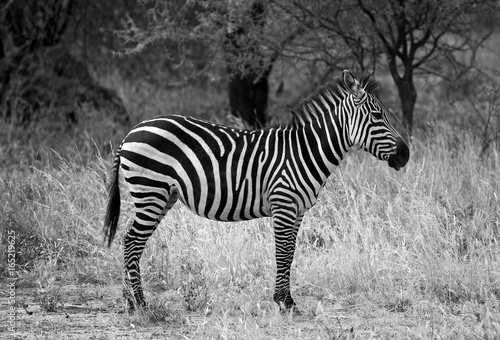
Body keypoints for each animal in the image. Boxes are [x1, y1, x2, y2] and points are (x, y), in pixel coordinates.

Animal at [102, 70, 410, 312]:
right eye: (377, 116)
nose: (405, 155)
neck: (304, 152)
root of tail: (130, 134)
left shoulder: (297, 211)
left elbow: (291, 252)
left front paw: (287, 299)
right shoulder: (284, 205)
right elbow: (283, 252)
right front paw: (284, 302)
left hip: (163, 196)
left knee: (131, 242)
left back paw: (129, 301)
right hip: (150, 193)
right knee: (131, 242)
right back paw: (140, 303)